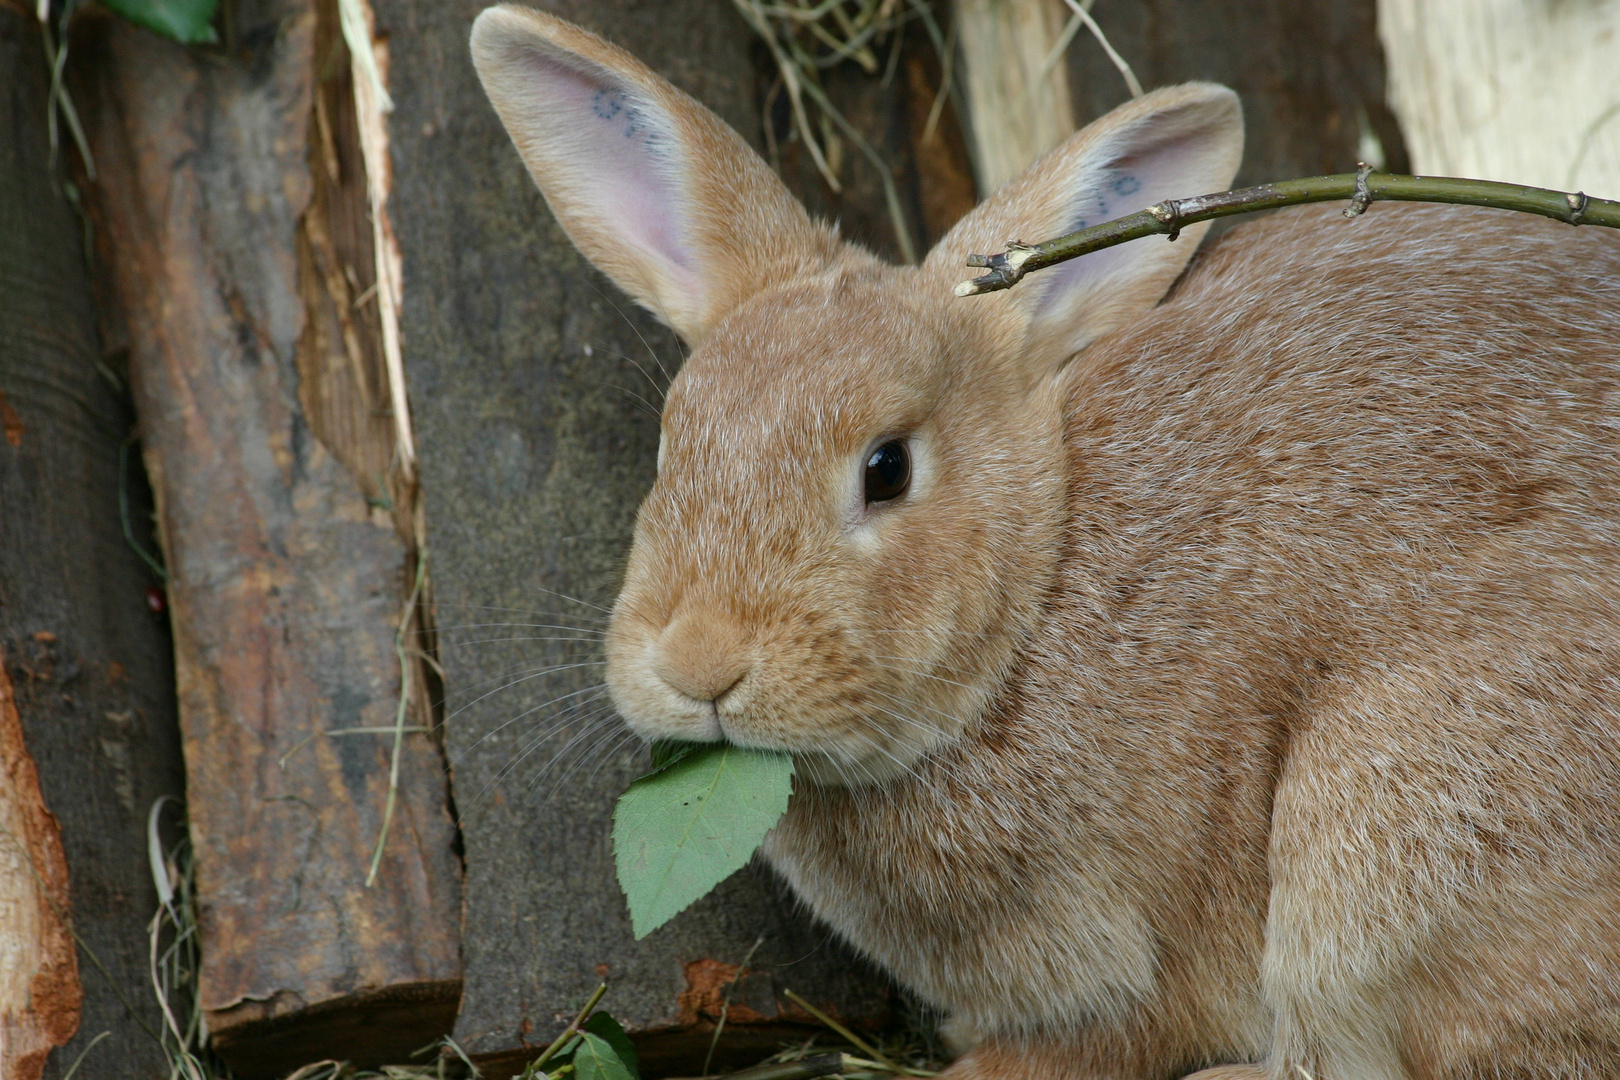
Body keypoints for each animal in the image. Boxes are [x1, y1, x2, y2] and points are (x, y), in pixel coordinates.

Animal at [469, 4, 1620, 1075]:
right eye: (672, 446)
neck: (1039, 589)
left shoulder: (1135, 977)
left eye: (887, 468)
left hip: (1392, 817)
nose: (700, 663)